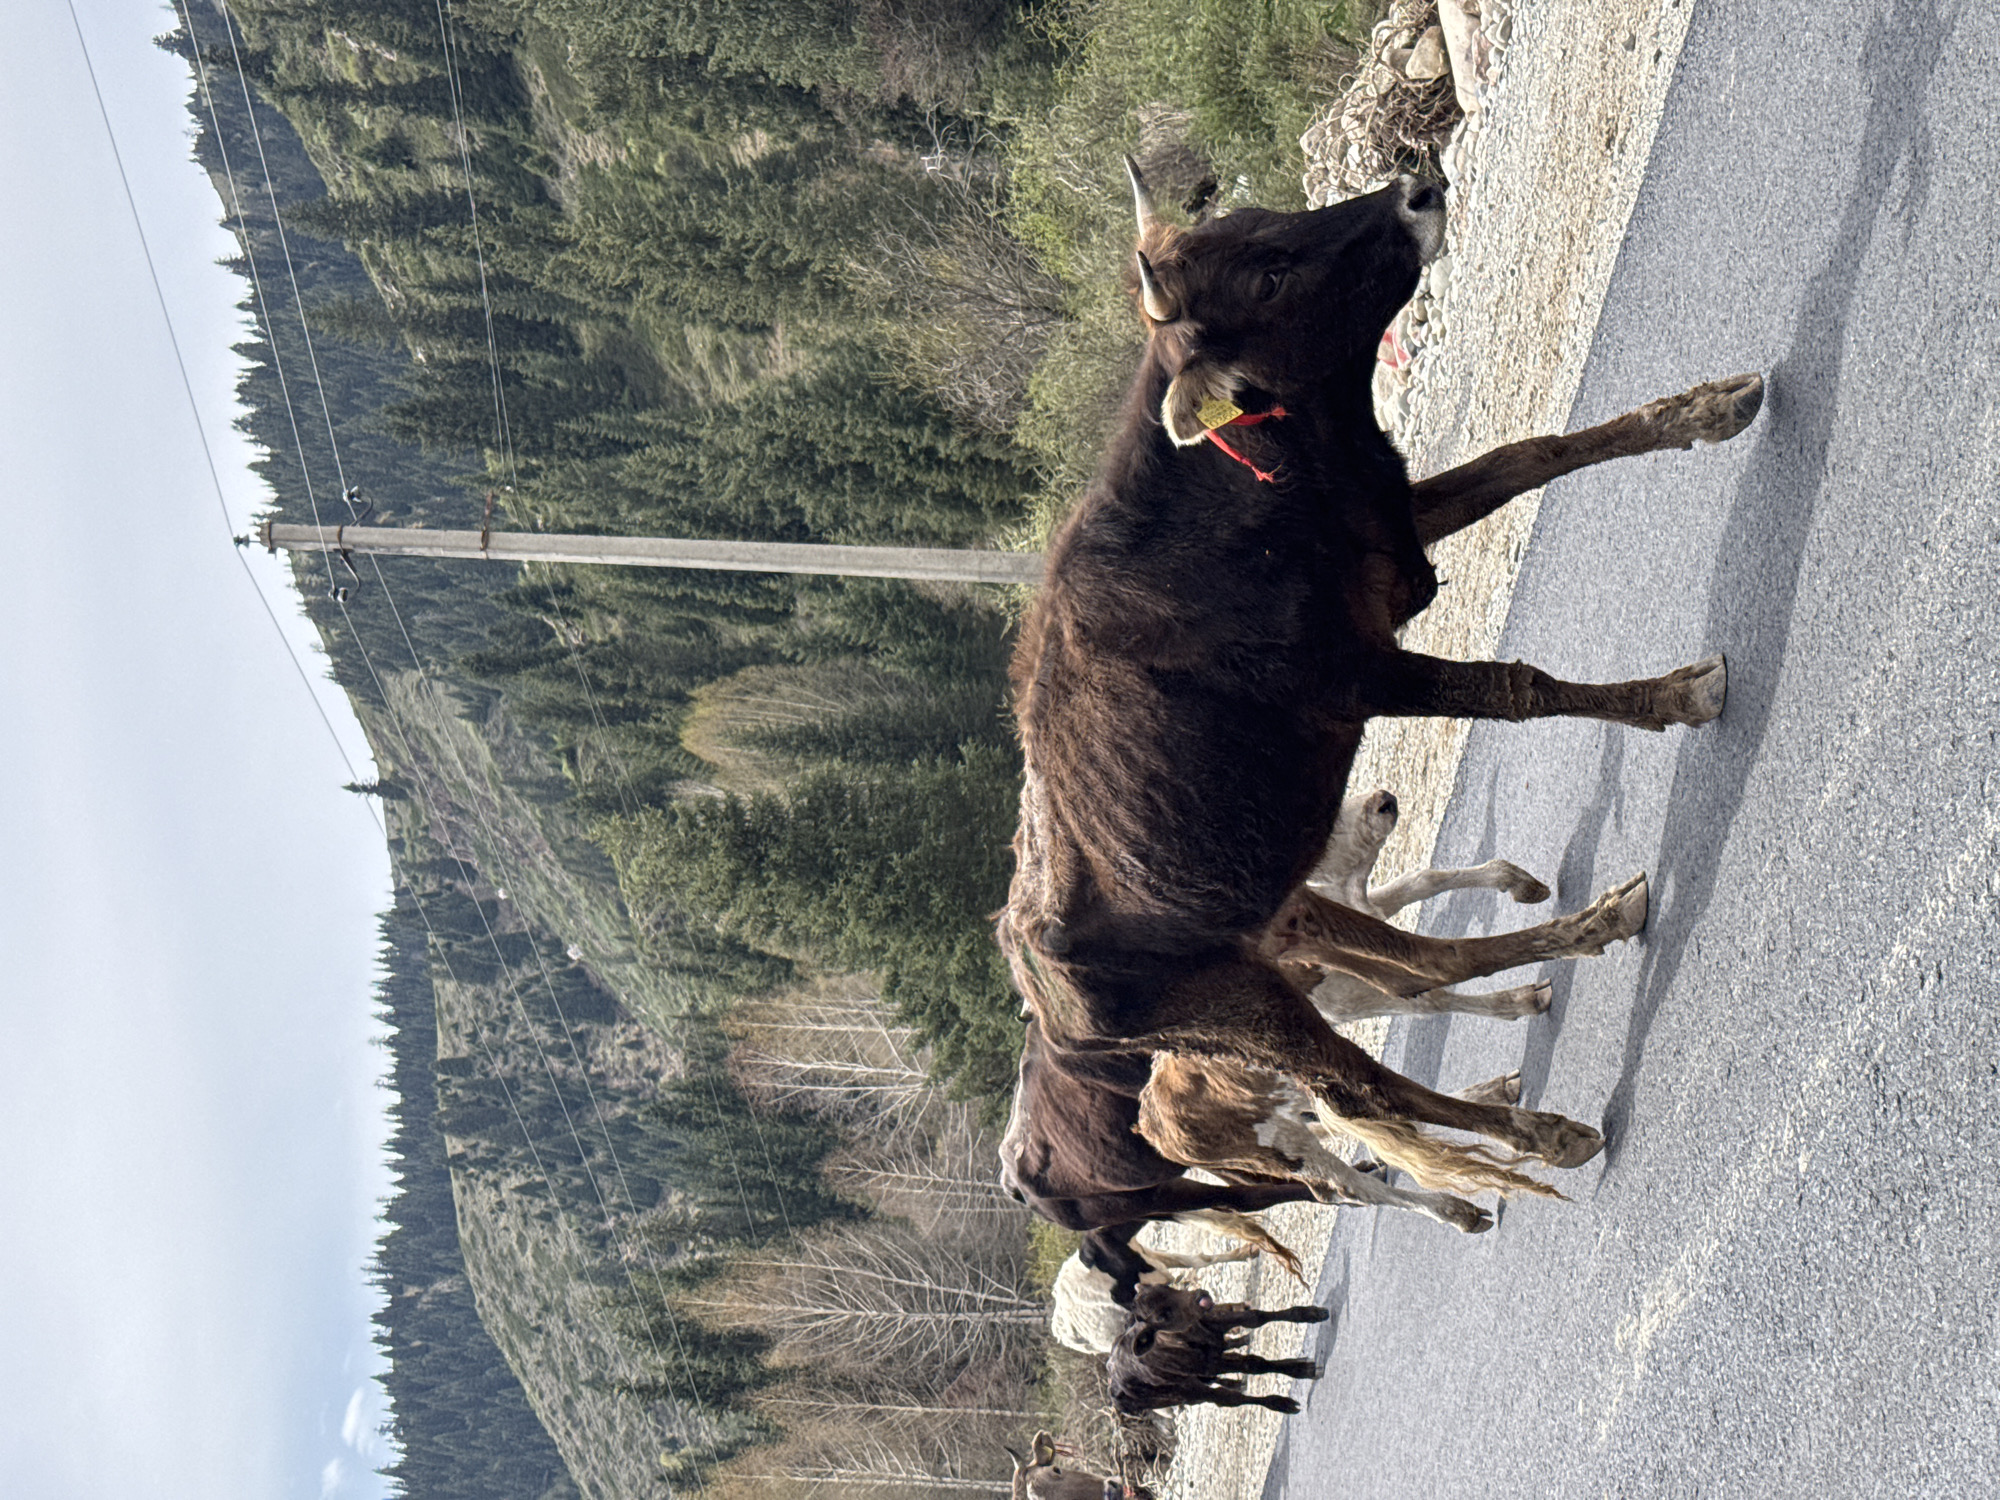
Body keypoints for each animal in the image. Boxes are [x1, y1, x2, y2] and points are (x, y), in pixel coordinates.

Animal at [997, 159, 1762, 1174]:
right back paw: (1540, 1133)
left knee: (1423, 968)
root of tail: (1037, 991)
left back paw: (1588, 933)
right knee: (1365, 1091)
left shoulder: (1392, 537)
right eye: (1269, 279)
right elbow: (1516, 687)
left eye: (1263, 221)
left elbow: (1538, 453)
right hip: (1245, 1009)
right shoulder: (1357, 675)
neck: (1265, 491)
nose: (1418, 190)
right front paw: (1675, 695)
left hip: (1283, 925)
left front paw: (1705, 411)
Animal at [1108, 1282, 1328, 1416]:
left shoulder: (1217, 1321)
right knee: (1227, 1399)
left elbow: (1256, 1317)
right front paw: (1301, 1370)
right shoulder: (1211, 1364)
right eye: (1162, 1316)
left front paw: (1311, 1313)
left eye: (1165, 1287)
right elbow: (1254, 1364)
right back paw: (1279, 1403)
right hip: (1187, 1393)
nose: (1200, 1297)